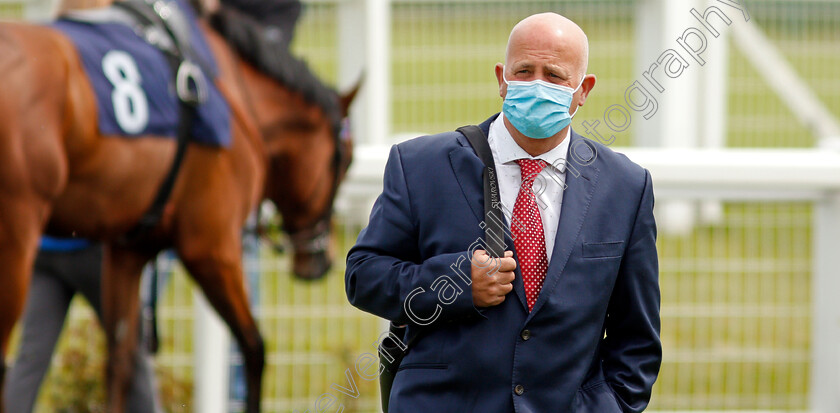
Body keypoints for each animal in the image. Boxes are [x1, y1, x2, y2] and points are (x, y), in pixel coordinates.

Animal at [0, 1, 358, 410]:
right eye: (346, 160)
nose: (321, 258)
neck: (231, 89)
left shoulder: (127, 249)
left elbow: (121, 360)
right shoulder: (212, 247)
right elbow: (254, 346)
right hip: (16, 245)